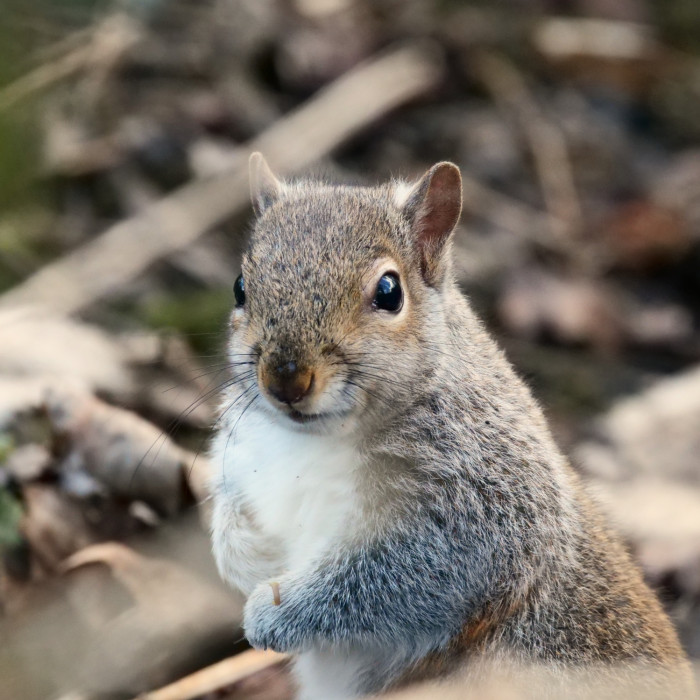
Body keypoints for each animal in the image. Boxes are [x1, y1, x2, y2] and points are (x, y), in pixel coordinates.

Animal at [209, 154, 696, 700]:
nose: (286, 378)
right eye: (240, 287)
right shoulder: (245, 456)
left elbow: (406, 578)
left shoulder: (485, 506)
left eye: (389, 292)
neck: (314, 440)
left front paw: (275, 613)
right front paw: (245, 560)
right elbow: (229, 517)